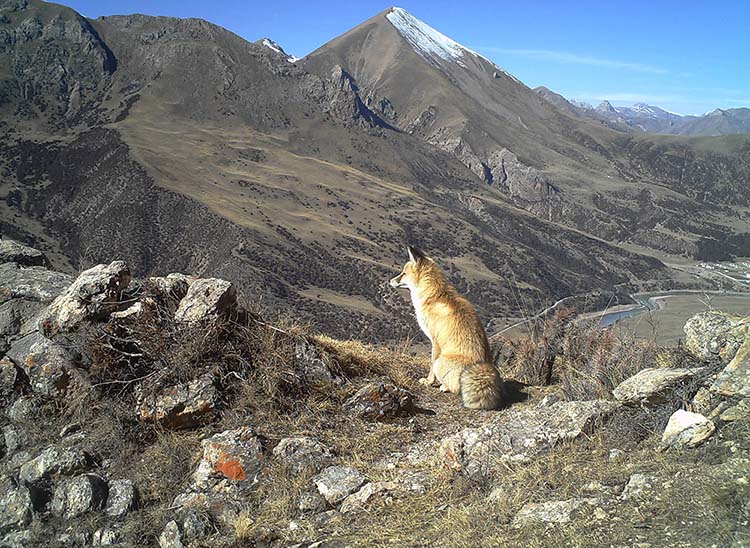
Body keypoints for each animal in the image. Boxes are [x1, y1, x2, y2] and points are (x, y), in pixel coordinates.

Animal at [388, 246, 506, 408]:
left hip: (441, 361)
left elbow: (431, 364)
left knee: (455, 387)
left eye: (403, 273)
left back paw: (444, 387)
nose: (390, 281)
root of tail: (483, 366)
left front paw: (428, 382)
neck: (434, 296)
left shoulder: (435, 341)